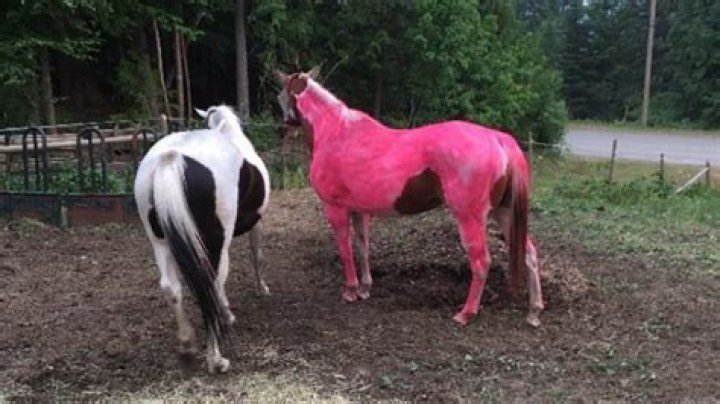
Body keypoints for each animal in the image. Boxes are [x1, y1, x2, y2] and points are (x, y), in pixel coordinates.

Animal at [134, 105, 270, 373]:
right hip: (217, 243)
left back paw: (187, 344)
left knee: (171, 287)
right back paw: (216, 358)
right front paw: (261, 289)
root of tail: (172, 157)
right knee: (212, 283)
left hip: (160, 243)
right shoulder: (257, 223)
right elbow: (256, 255)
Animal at [275, 68, 543, 327]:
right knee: (529, 253)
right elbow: (362, 245)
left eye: (280, 95)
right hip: (503, 212)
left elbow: (345, 246)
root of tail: (498, 139)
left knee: (481, 262)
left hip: (471, 218)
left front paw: (351, 290)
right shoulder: (359, 210)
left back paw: (466, 314)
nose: (284, 129)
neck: (337, 132)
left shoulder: (335, 208)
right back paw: (534, 311)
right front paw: (365, 287)